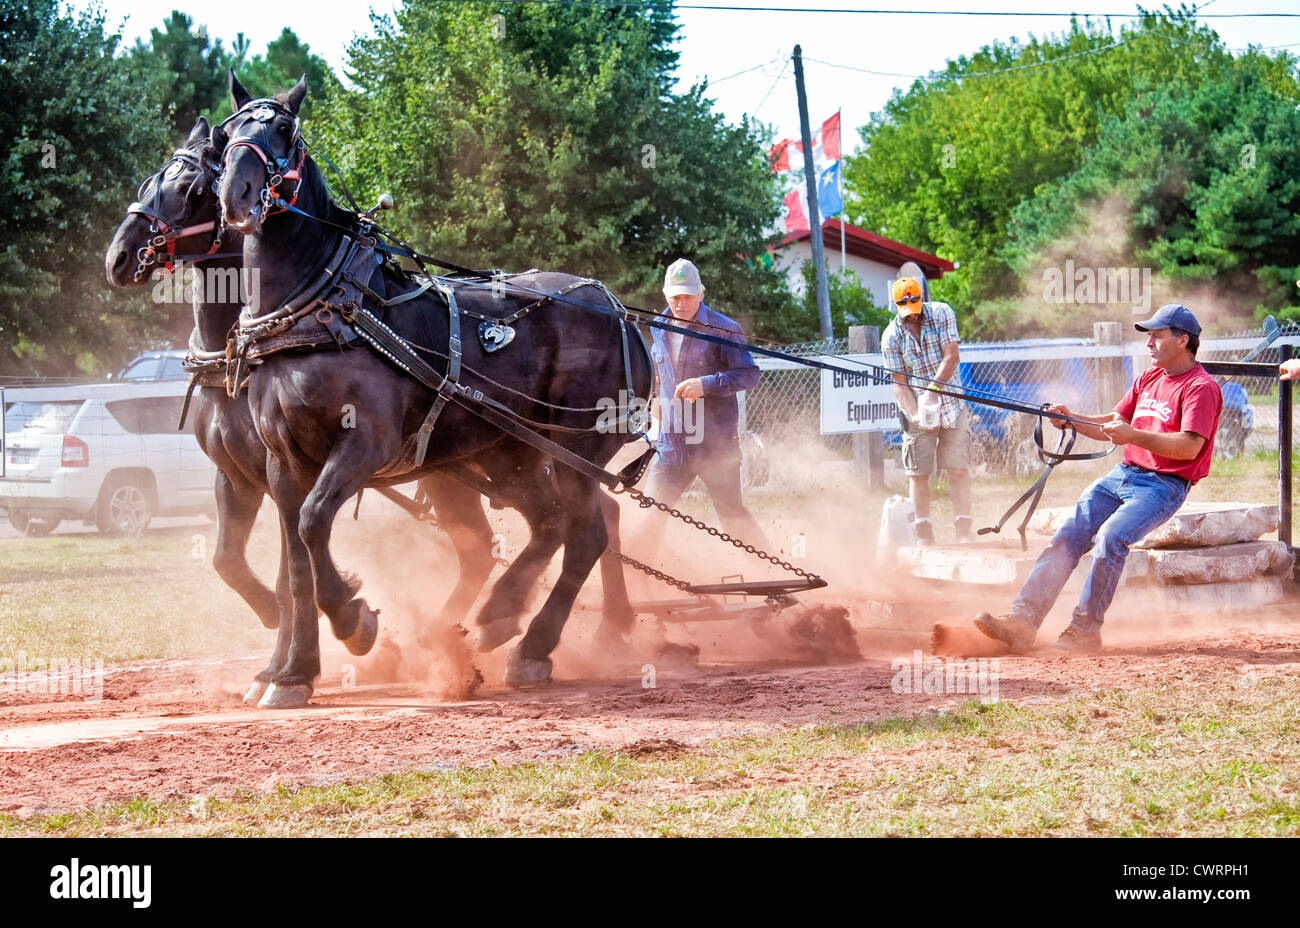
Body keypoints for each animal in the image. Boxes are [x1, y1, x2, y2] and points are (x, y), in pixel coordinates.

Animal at [215, 74, 652, 706]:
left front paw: (354, 621)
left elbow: (313, 523)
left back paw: (530, 646)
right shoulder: (283, 462)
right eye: (227, 134)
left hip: (573, 448)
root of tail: (619, 312)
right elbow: (295, 563)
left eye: (283, 130)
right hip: (509, 453)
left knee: (586, 534)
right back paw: (488, 619)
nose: (238, 194)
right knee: (547, 526)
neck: (319, 307)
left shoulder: (363, 445)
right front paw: (292, 672)